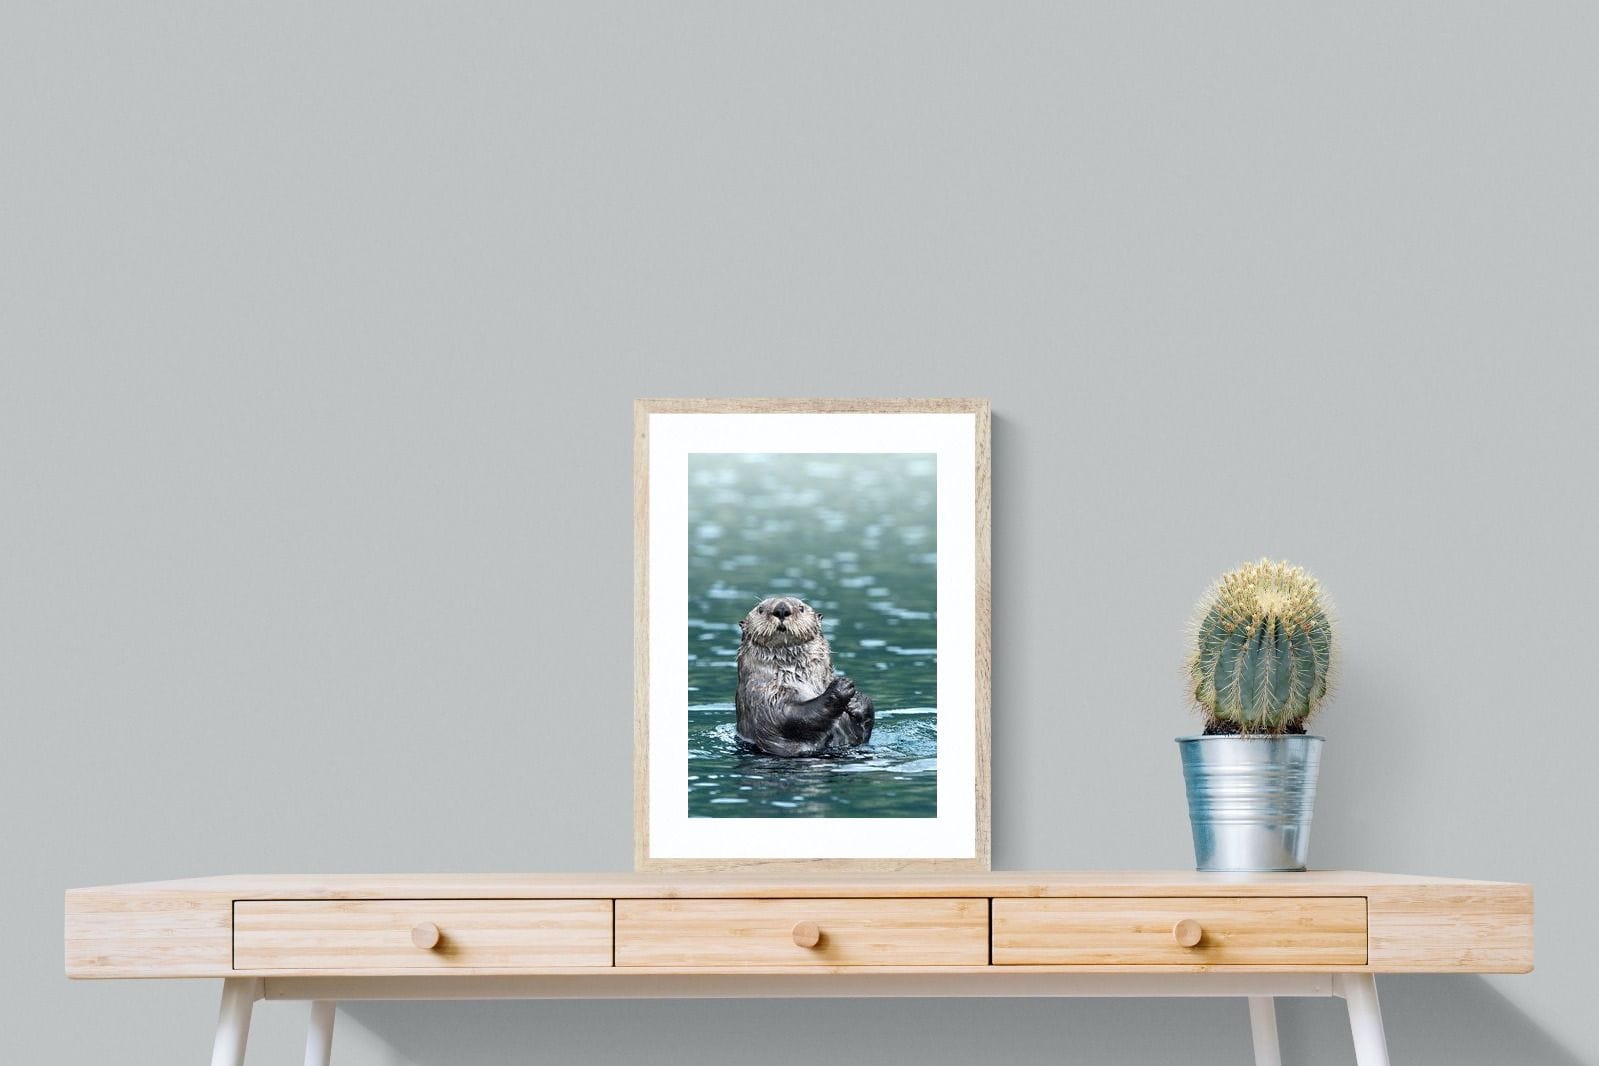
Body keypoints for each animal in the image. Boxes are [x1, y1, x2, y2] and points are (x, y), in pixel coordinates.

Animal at [735, 595, 875, 757]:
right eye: (760, 609)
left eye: (801, 608)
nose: (781, 609)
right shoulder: (761, 696)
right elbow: (790, 716)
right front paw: (841, 686)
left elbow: (861, 734)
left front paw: (857, 701)